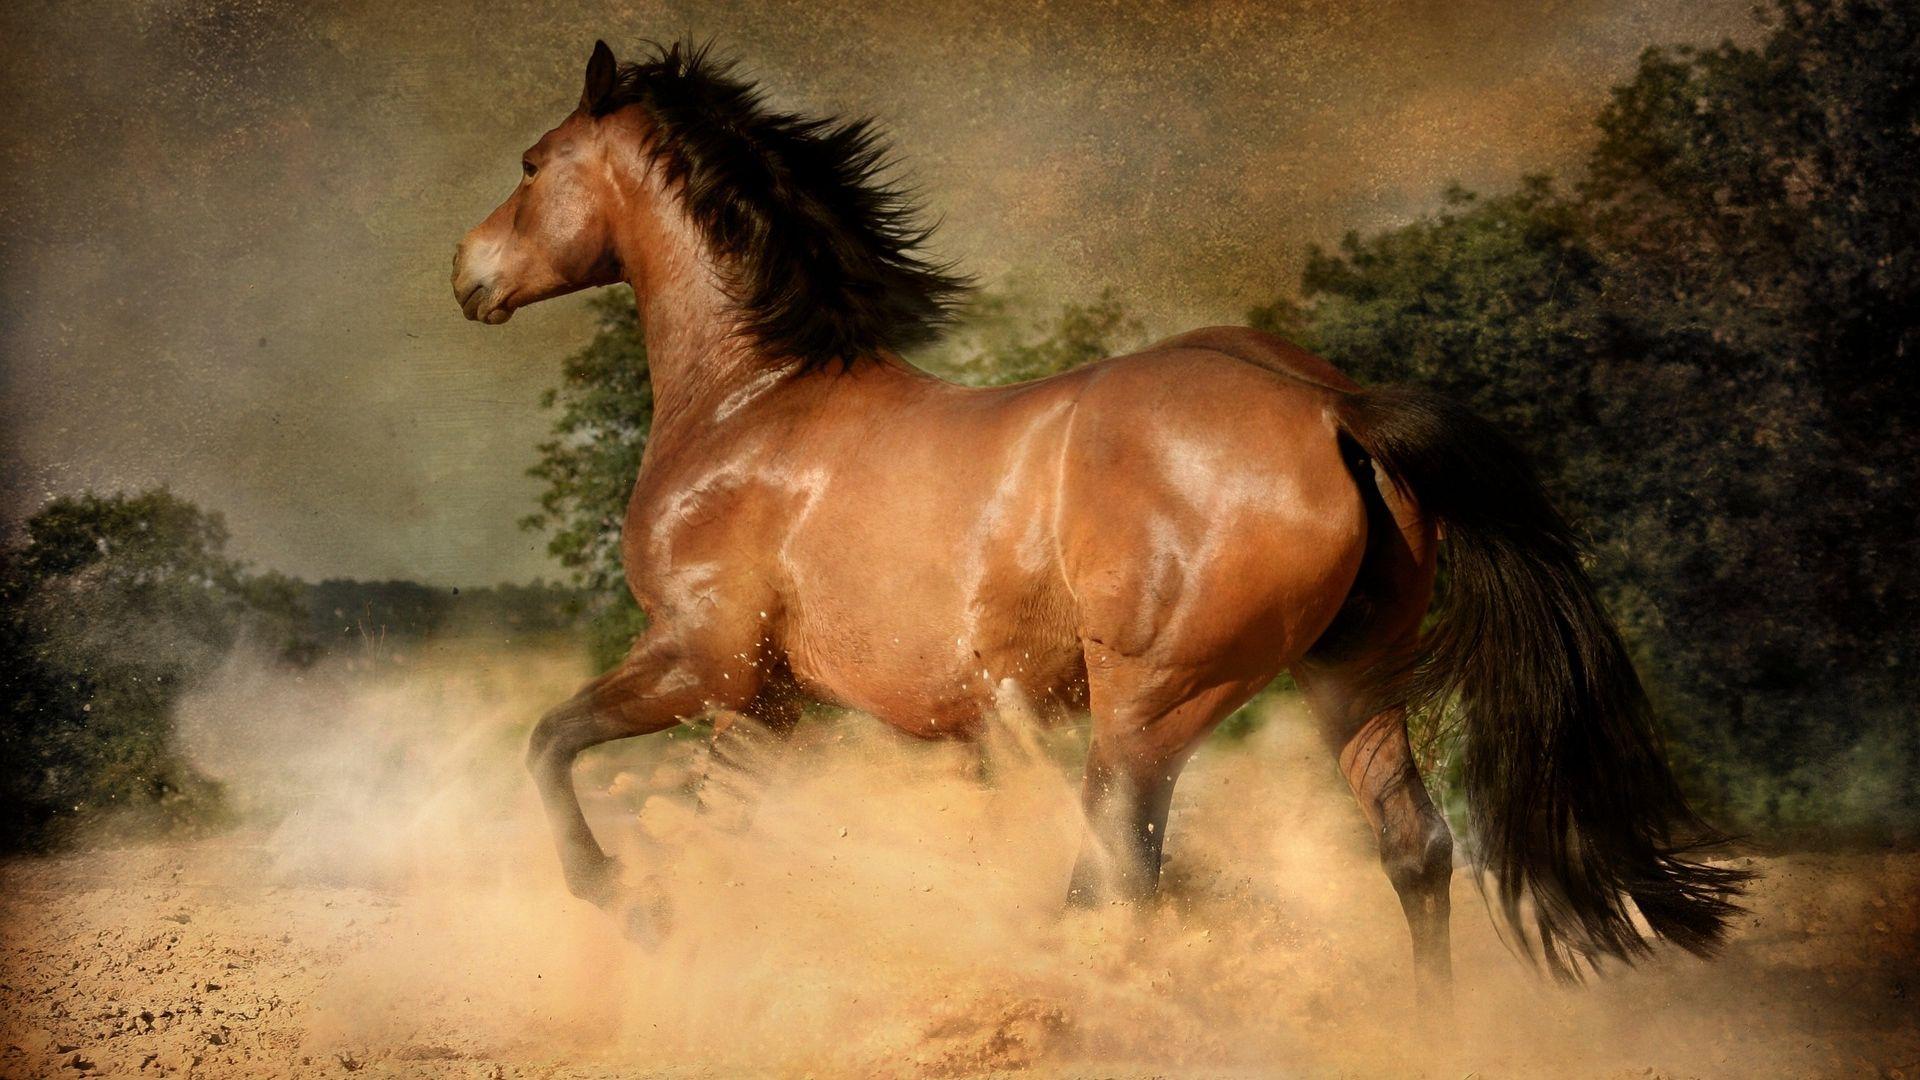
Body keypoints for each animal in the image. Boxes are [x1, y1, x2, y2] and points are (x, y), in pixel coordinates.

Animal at [451, 39, 1746, 998]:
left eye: (535, 159)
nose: (468, 274)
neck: (754, 402)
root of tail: (1326, 403)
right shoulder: (768, 705)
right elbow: (720, 824)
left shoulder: (702, 660)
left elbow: (549, 744)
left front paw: (624, 902)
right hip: (1351, 675)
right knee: (1416, 853)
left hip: (1153, 704)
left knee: (1117, 876)